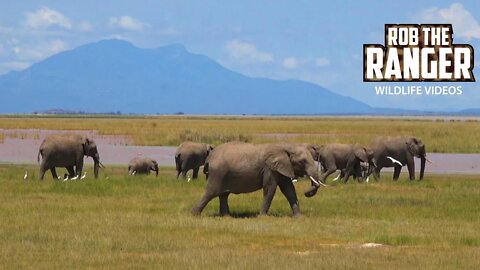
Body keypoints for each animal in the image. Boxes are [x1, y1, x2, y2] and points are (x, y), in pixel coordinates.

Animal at [193, 142, 324, 216]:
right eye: (302, 162)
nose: (307, 192)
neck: (286, 146)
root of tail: (209, 158)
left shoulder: (282, 167)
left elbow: (289, 189)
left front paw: (298, 217)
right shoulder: (270, 168)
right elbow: (270, 188)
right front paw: (263, 216)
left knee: (223, 194)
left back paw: (226, 216)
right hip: (218, 173)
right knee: (211, 192)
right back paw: (195, 214)